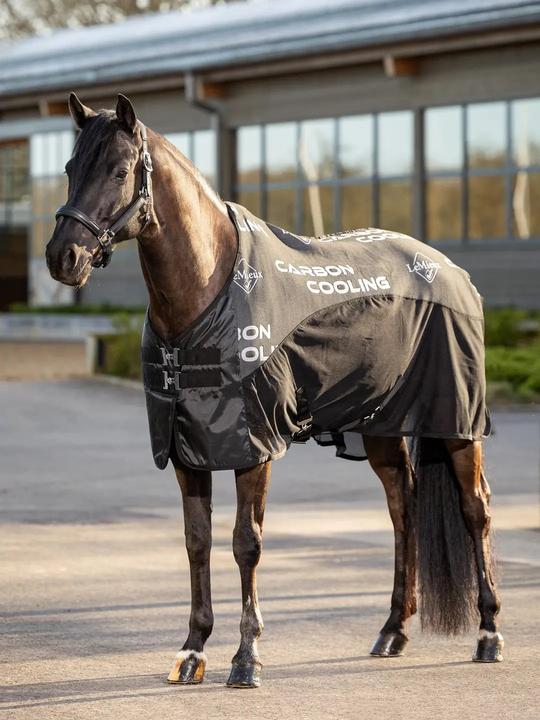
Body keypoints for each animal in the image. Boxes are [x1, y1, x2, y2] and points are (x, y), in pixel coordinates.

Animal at [46, 93, 502, 689]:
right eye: (70, 169)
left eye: (120, 171)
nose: (63, 258)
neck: (208, 290)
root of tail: (451, 272)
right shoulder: (186, 446)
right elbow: (197, 541)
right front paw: (192, 651)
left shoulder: (253, 445)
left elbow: (247, 542)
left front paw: (246, 658)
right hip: (380, 425)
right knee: (403, 506)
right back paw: (392, 631)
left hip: (457, 422)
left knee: (476, 509)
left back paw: (488, 634)